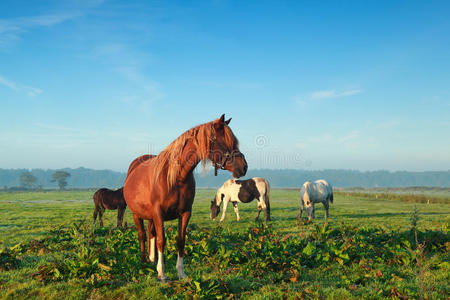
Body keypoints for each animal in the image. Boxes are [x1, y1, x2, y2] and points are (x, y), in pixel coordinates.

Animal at [125, 114, 248, 282]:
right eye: (224, 141)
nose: (244, 167)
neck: (177, 177)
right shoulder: (158, 213)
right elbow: (161, 240)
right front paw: (162, 273)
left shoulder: (184, 213)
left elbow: (180, 241)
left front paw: (181, 272)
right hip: (136, 214)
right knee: (142, 235)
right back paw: (144, 261)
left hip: (150, 217)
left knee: (151, 233)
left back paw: (152, 259)